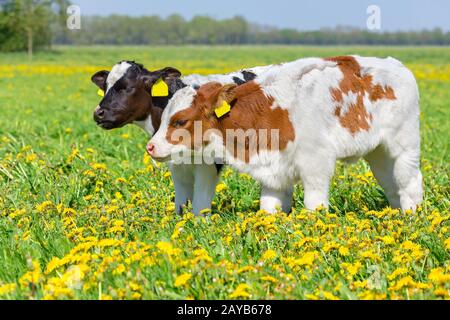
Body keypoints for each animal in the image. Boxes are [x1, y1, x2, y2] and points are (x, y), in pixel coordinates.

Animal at [149, 56, 424, 214]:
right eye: (163, 117)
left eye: (180, 120)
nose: (150, 147)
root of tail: (397, 64)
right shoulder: (273, 171)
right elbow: (268, 209)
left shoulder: (316, 165)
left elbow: (314, 206)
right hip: (378, 152)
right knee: (391, 184)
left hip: (404, 146)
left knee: (410, 181)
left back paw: (413, 217)